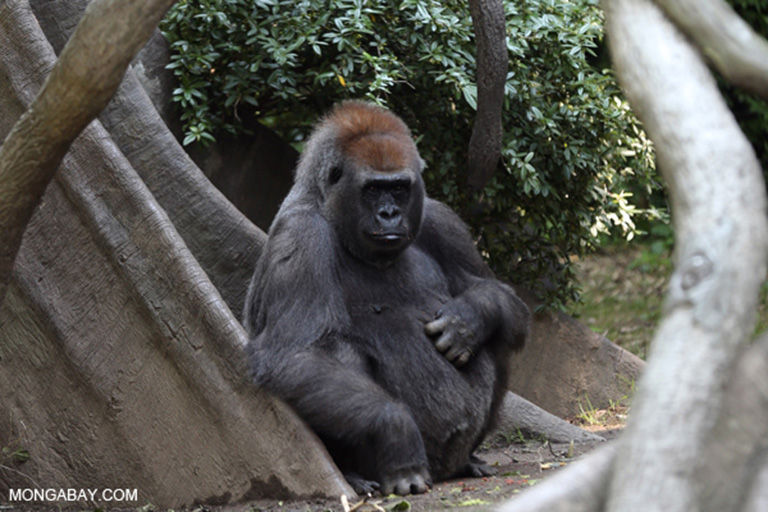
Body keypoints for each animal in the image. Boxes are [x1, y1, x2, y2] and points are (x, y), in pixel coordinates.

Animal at [243, 100, 532, 496]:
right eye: (372, 190)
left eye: (398, 189)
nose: (389, 214)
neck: (326, 204)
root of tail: (443, 472)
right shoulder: (301, 236)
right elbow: (295, 354)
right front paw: (395, 429)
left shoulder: (441, 220)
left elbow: (505, 301)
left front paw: (469, 318)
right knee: (338, 350)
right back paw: (354, 473)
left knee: (499, 337)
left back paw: (470, 459)